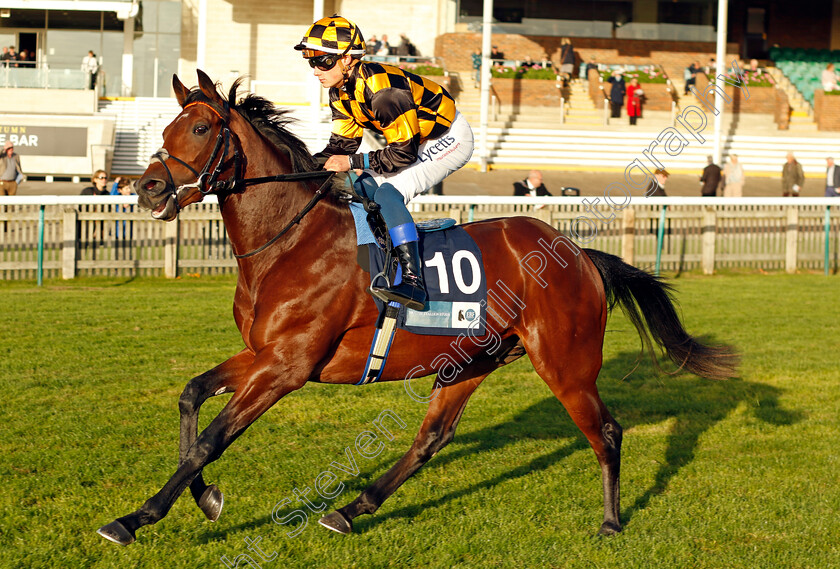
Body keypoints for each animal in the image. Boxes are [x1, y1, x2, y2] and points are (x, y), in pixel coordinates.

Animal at [95, 71, 736, 544]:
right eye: (168, 127)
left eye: (202, 127)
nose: (148, 188)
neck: (289, 241)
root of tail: (577, 252)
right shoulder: (262, 354)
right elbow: (191, 396)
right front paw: (205, 496)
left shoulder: (287, 366)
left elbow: (212, 437)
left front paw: (134, 518)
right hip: (471, 359)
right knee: (433, 437)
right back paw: (351, 508)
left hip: (566, 364)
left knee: (605, 430)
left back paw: (609, 522)